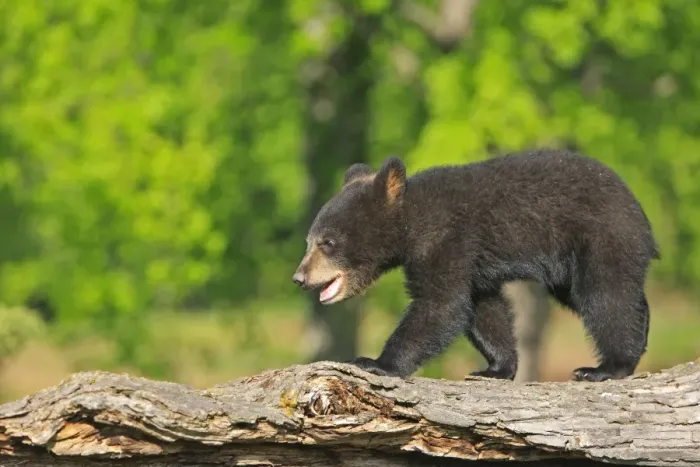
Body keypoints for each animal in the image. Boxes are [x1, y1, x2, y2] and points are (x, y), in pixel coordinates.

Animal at [292, 149, 660, 382]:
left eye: (328, 242)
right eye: (309, 241)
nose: (299, 277)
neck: (412, 222)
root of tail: (640, 210)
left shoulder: (446, 239)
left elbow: (440, 304)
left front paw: (375, 362)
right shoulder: (475, 264)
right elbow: (483, 308)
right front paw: (496, 367)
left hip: (600, 237)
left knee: (606, 296)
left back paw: (608, 367)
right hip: (568, 269)